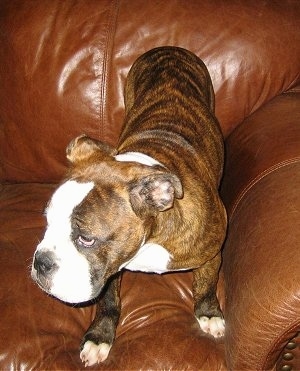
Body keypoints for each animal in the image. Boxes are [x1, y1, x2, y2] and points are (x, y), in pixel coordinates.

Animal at [31, 45, 227, 366]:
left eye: (86, 239)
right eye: (48, 222)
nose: (41, 262)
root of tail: (169, 48)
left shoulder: (211, 254)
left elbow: (207, 284)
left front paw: (208, 313)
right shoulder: (111, 269)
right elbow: (108, 300)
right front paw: (100, 336)